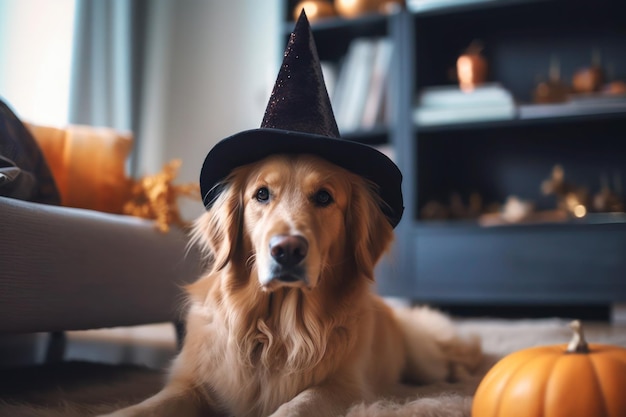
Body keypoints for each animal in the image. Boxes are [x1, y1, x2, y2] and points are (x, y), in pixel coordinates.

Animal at [101, 153, 478, 416]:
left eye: (324, 197)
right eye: (261, 194)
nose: (287, 249)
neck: (274, 331)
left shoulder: (342, 386)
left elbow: (299, 403)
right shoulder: (192, 381)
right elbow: (149, 405)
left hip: (423, 360)